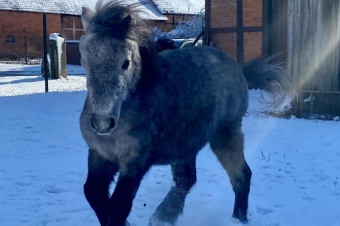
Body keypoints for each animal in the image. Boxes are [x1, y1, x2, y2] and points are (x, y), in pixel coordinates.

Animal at [79, 0, 292, 225]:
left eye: (125, 62)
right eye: (85, 60)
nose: (103, 123)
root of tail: (239, 69)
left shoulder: (136, 161)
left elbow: (119, 205)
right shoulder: (99, 154)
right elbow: (92, 192)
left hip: (225, 134)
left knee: (241, 175)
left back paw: (235, 219)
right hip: (186, 144)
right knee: (186, 179)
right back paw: (165, 216)